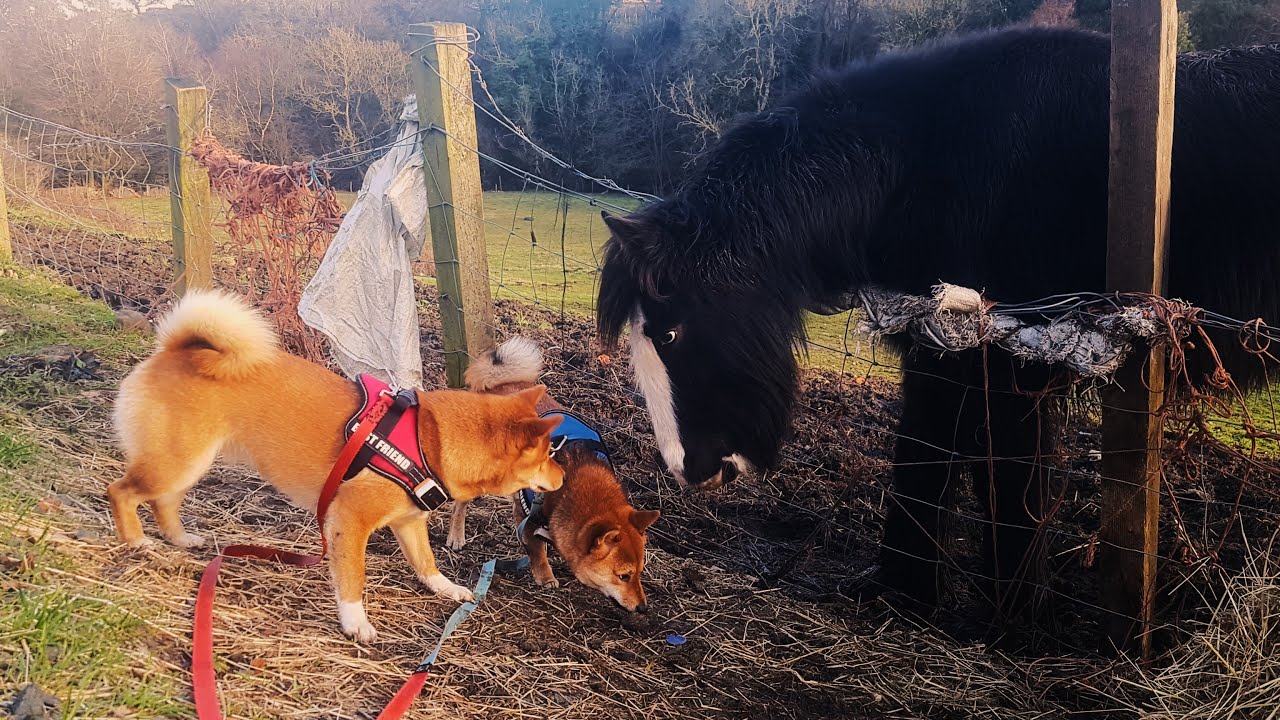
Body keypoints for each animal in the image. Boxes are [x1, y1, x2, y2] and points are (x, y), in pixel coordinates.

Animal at [107, 288, 568, 635]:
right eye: (549, 454)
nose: (564, 475)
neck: (431, 440)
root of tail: (176, 349)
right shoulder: (349, 520)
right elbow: (353, 580)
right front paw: (355, 622)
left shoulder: (408, 522)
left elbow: (426, 563)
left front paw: (447, 589)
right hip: (176, 461)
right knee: (122, 492)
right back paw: (137, 542)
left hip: (188, 463)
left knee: (163, 502)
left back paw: (181, 539)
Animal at [448, 335, 660, 609]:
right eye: (624, 575)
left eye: (640, 573)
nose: (643, 608)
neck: (573, 475)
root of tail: (495, 386)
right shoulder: (529, 515)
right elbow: (537, 550)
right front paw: (545, 576)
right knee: (461, 502)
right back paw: (456, 535)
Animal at [593, 29, 1280, 609]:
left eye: (669, 332)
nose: (687, 470)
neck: (922, 164)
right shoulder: (940, 350)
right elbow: (926, 455)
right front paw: (902, 591)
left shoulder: (1010, 367)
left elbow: (1009, 486)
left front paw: (1011, 618)